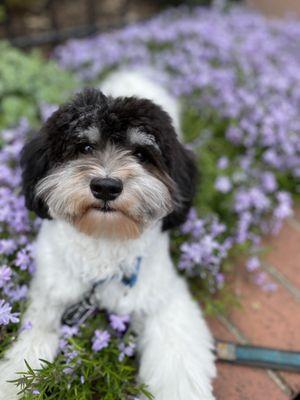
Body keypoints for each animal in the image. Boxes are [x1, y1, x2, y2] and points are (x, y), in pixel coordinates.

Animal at [0, 70, 216, 398]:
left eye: (141, 154)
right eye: (85, 147)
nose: (106, 186)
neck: (105, 239)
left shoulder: (163, 296)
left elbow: (176, 358)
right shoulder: (51, 292)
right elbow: (32, 342)